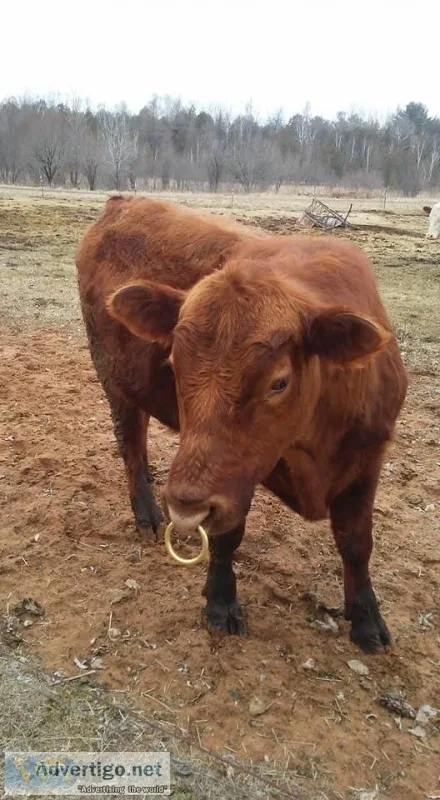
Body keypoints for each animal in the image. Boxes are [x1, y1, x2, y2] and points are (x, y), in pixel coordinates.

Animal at [76, 195, 408, 654]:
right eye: (173, 363)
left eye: (279, 382)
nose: (184, 505)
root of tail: (122, 202)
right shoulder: (234, 477)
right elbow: (226, 534)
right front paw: (220, 601)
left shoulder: (367, 459)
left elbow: (357, 542)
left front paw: (366, 619)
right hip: (113, 377)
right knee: (131, 442)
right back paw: (147, 511)